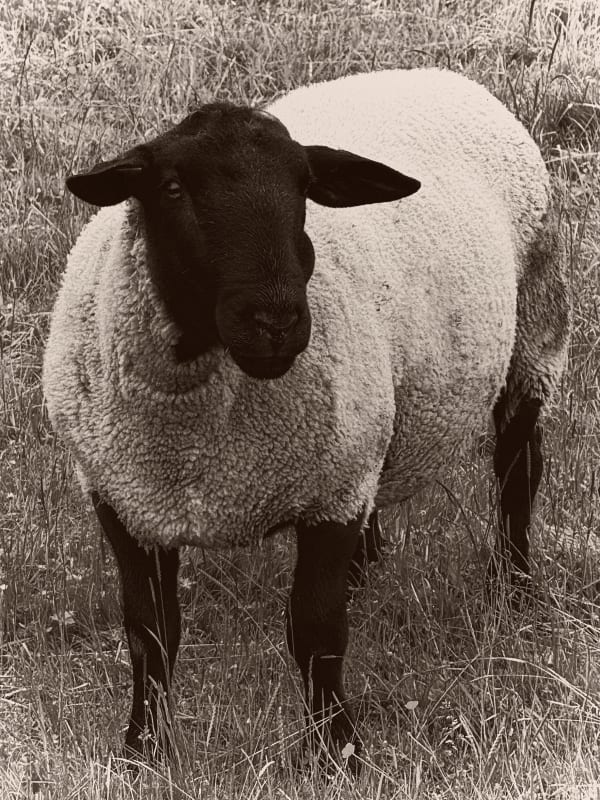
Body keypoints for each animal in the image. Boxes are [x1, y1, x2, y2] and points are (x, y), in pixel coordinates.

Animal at [43, 67, 570, 773]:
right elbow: (149, 630)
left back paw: (512, 589)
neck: (197, 441)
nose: (277, 321)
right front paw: (143, 747)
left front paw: (335, 747)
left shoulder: (330, 492)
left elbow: (317, 628)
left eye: (303, 188)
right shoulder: (123, 496)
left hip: (534, 332)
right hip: (372, 422)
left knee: (518, 471)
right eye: (173, 187)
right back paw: (367, 574)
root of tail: (426, 72)